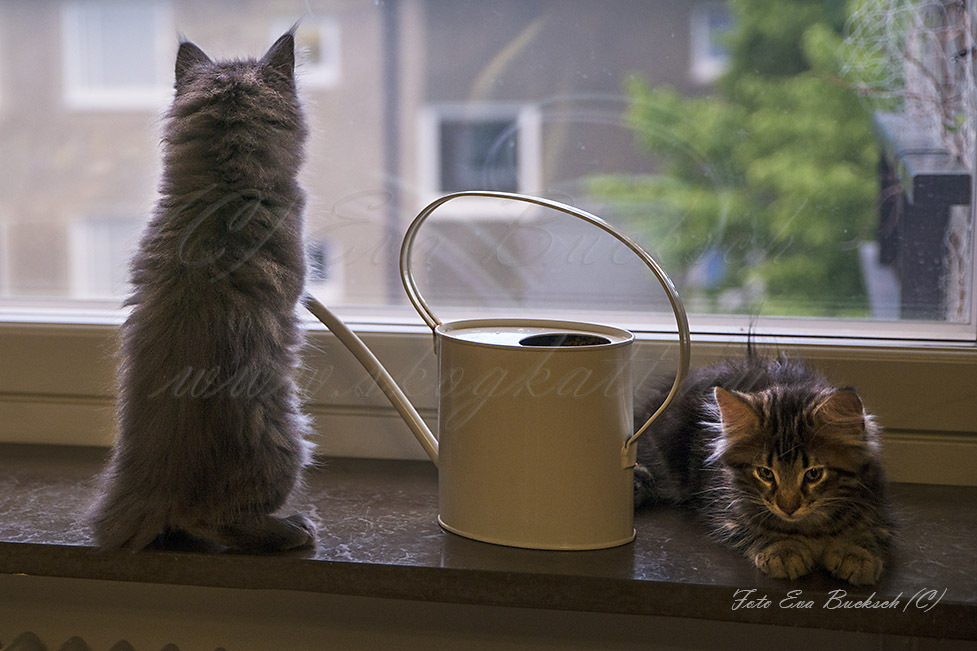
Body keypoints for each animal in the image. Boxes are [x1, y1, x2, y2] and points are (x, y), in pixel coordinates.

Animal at [632, 354, 892, 588]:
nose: (788, 508)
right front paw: (782, 549)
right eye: (765, 473)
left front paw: (857, 554)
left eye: (814, 474)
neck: (810, 529)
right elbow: (755, 526)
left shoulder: (876, 503)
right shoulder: (726, 508)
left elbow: (869, 530)